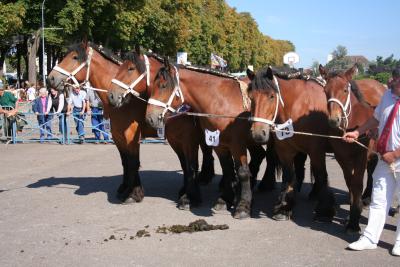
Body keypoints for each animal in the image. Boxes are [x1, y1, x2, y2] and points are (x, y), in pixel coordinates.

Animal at [46, 43, 214, 206]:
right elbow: (125, 162)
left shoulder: (135, 136)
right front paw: (125, 188)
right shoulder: (118, 136)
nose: (50, 79)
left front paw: (134, 194)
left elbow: (134, 163)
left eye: (74, 57)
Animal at [248, 68, 336, 223]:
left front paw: (324, 211)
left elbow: (321, 175)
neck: (299, 106)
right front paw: (284, 208)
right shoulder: (284, 151)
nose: (258, 133)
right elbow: (289, 175)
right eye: (251, 97)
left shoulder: (316, 151)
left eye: (271, 96)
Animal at [318, 65, 384, 232]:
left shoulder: (361, 156)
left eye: (344, 90)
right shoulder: (341, 157)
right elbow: (349, 182)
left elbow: (357, 183)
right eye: (325, 91)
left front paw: (354, 220)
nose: (333, 120)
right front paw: (352, 213)